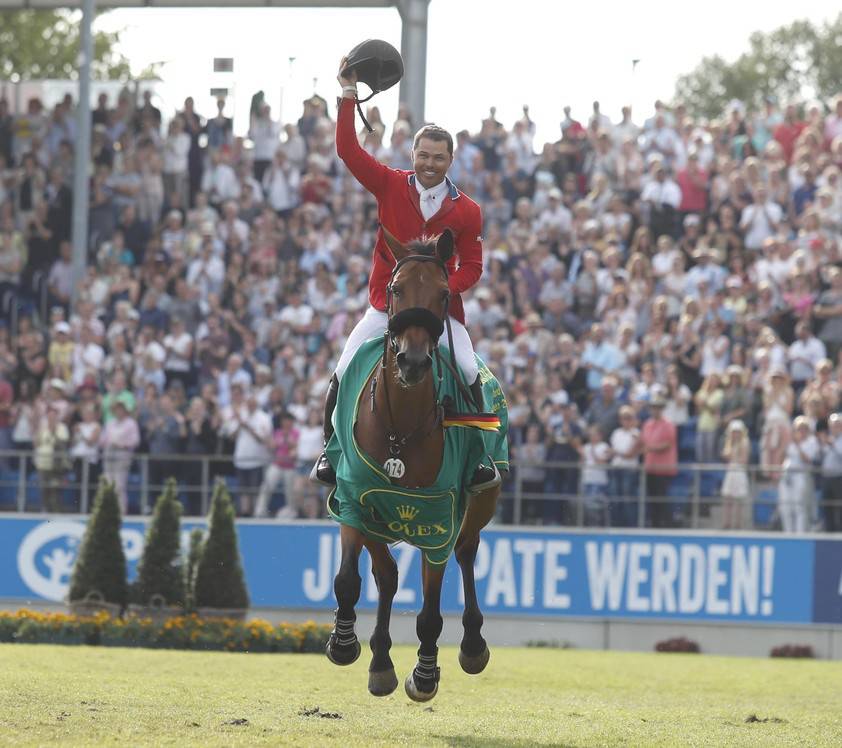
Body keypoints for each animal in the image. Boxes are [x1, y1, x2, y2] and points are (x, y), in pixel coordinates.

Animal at [322, 228, 506, 700]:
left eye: (444, 294)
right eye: (394, 289)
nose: (414, 361)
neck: (400, 428)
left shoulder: (438, 516)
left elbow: (430, 611)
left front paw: (424, 674)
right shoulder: (354, 498)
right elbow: (353, 579)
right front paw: (345, 644)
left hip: (482, 501)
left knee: (467, 551)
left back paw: (472, 645)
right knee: (386, 575)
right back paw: (380, 661)